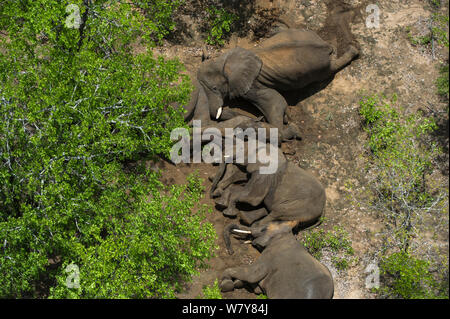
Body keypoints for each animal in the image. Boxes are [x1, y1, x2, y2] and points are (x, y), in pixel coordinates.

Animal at [183, 28, 358, 141]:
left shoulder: (251, 86)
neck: (224, 62)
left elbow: (274, 101)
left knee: (331, 69)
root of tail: (325, 46)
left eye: (214, 88)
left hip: (320, 69)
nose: (257, 119)